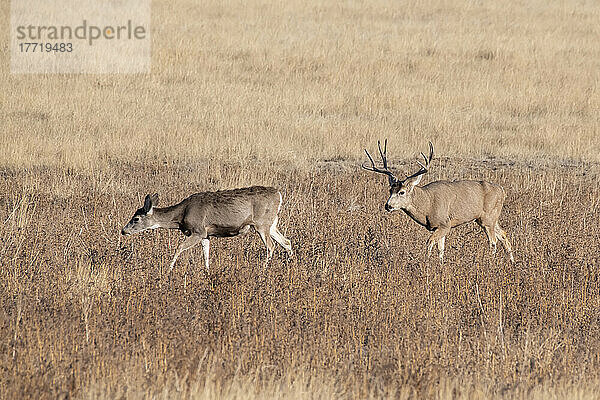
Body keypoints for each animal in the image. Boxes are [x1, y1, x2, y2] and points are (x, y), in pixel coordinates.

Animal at [120, 188, 292, 272]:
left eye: (136, 219)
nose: (123, 231)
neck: (181, 215)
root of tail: (279, 194)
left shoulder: (198, 230)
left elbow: (179, 248)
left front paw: (168, 270)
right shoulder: (206, 235)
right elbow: (206, 254)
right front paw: (207, 272)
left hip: (261, 223)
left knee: (271, 246)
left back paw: (263, 270)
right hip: (272, 223)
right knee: (286, 242)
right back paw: (290, 264)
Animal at [364, 139, 512, 264]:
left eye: (402, 192)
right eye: (390, 190)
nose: (388, 206)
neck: (428, 205)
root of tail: (502, 190)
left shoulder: (445, 224)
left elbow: (429, 242)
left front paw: (426, 263)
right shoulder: (438, 227)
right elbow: (441, 249)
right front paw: (440, 265)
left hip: (488, 218)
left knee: (493, 241)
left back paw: (491, 262)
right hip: (488, 218)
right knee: (503, 235)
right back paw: (512, 262)